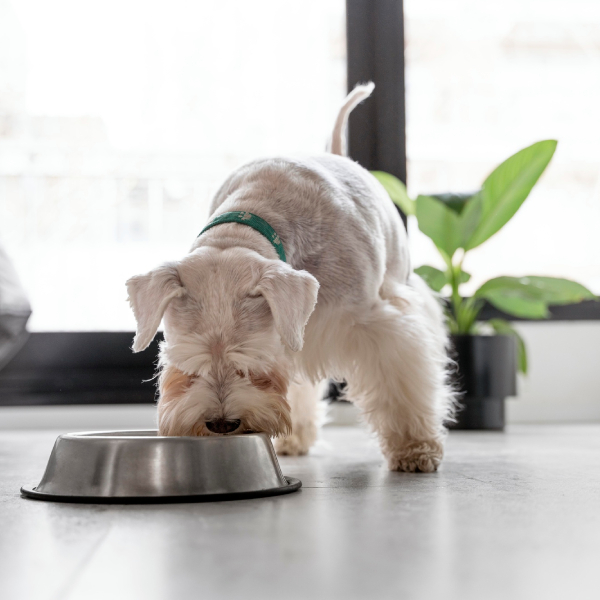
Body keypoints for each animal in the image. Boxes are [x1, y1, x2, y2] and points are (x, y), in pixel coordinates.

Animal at [127, 83, 454, 474]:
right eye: (187, 363)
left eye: (252, 361)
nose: (221, 423)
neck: (250, 221)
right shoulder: (292, 334)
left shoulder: (377, 325)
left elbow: (399, 383)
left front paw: (414, 448)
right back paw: (294, 438)